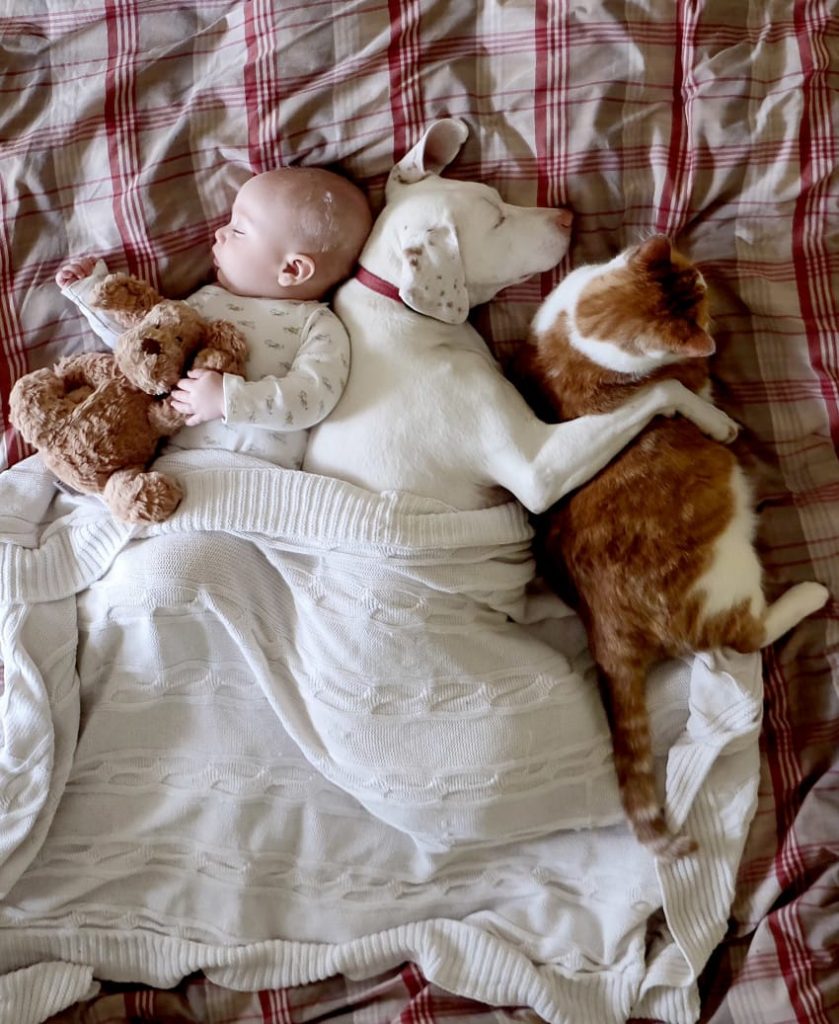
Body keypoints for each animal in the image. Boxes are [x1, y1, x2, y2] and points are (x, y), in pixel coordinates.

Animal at [305, 117, 737, 512]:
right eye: (497, 221)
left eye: (500, 198)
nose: (567, 215)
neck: (402, 310)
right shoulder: (536, 468)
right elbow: (659, 390)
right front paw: (713, 417)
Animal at [514, 235, 831, 860]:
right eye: (702, 302)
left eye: (693, 276)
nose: (706, 280)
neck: (579, 333)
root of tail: (604, 627)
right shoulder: (676, 380)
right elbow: (683, 389)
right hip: (727, 569)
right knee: (746, 633)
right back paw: (811, 593)